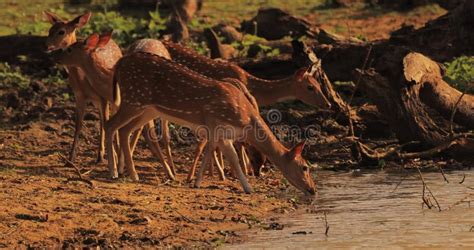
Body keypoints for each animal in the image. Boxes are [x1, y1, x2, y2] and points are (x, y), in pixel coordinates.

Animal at [105, 51, 316, 195]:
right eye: (305, 167)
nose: (312, 190)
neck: (246, 119)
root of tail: (121, 62)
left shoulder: (225, 134)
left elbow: (232, 157)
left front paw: (247, 188)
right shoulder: (214, 123)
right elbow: (210, 152)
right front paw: (197, 183)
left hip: (147, 108)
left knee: (124, 130)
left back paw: (132, 174)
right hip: (133, 98)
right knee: (110, 124)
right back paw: (114, 172)